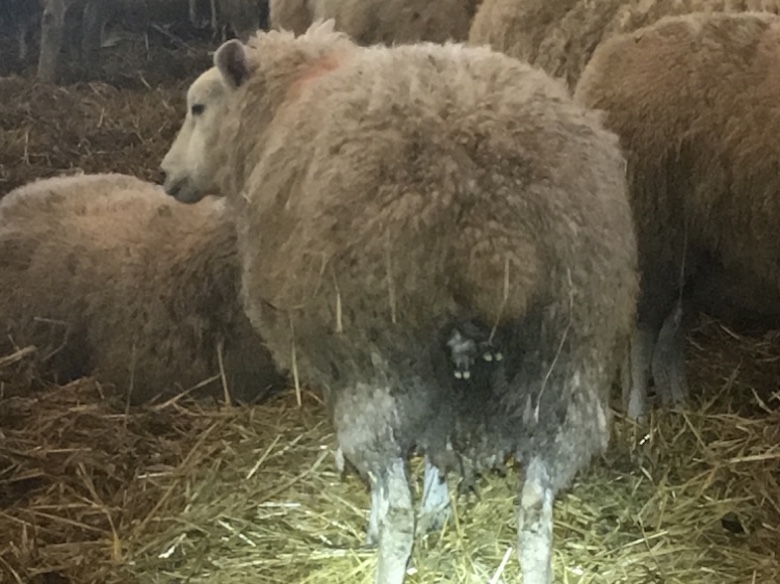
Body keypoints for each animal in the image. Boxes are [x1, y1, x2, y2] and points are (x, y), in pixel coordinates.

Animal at [160, 22, 640, 584]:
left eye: (197, 107)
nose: (165, 175)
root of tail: (490, 234)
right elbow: (440, 450)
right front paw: (440, 504)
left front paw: (398, 516)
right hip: (565, 358)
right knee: (537, 511)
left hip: (383, 361)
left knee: (397, 511)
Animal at [572, 10, 780, 420]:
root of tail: (611, 55)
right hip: (652, 236)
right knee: (642, 333)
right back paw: (639, 416)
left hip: (693, 252)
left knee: (669, 332)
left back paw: (679, 403)